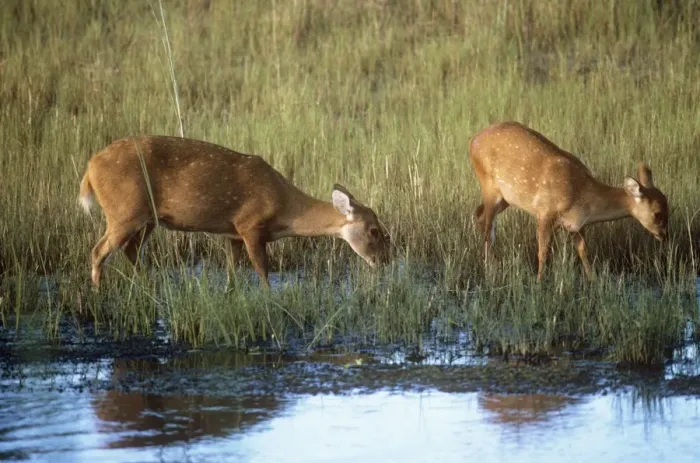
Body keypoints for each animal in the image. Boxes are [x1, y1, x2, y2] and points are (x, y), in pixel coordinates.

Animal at [78, 136, 390, 287]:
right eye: (374, 231)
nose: (383, 262)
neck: (284, 208)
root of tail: (90, 169)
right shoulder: (250, 225)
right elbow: (263, 272)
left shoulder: (233, 234)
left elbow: (231, 273)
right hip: (124, 211)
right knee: (98, 251)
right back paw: (98, 294)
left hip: (147, 218)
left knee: (130, 249)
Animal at [469, 121, 668, 281]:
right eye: (657, 213)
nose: (664, 235)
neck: (582, 196)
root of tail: (473, 141)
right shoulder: (544, 212)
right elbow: (543, 251)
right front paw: (539, 282)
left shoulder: (576, 226)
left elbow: (583, 251)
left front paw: (593, 281)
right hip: (489, 187)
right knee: (488, 228)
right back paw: (490, 269)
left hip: (506, 198)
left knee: (479, 215)